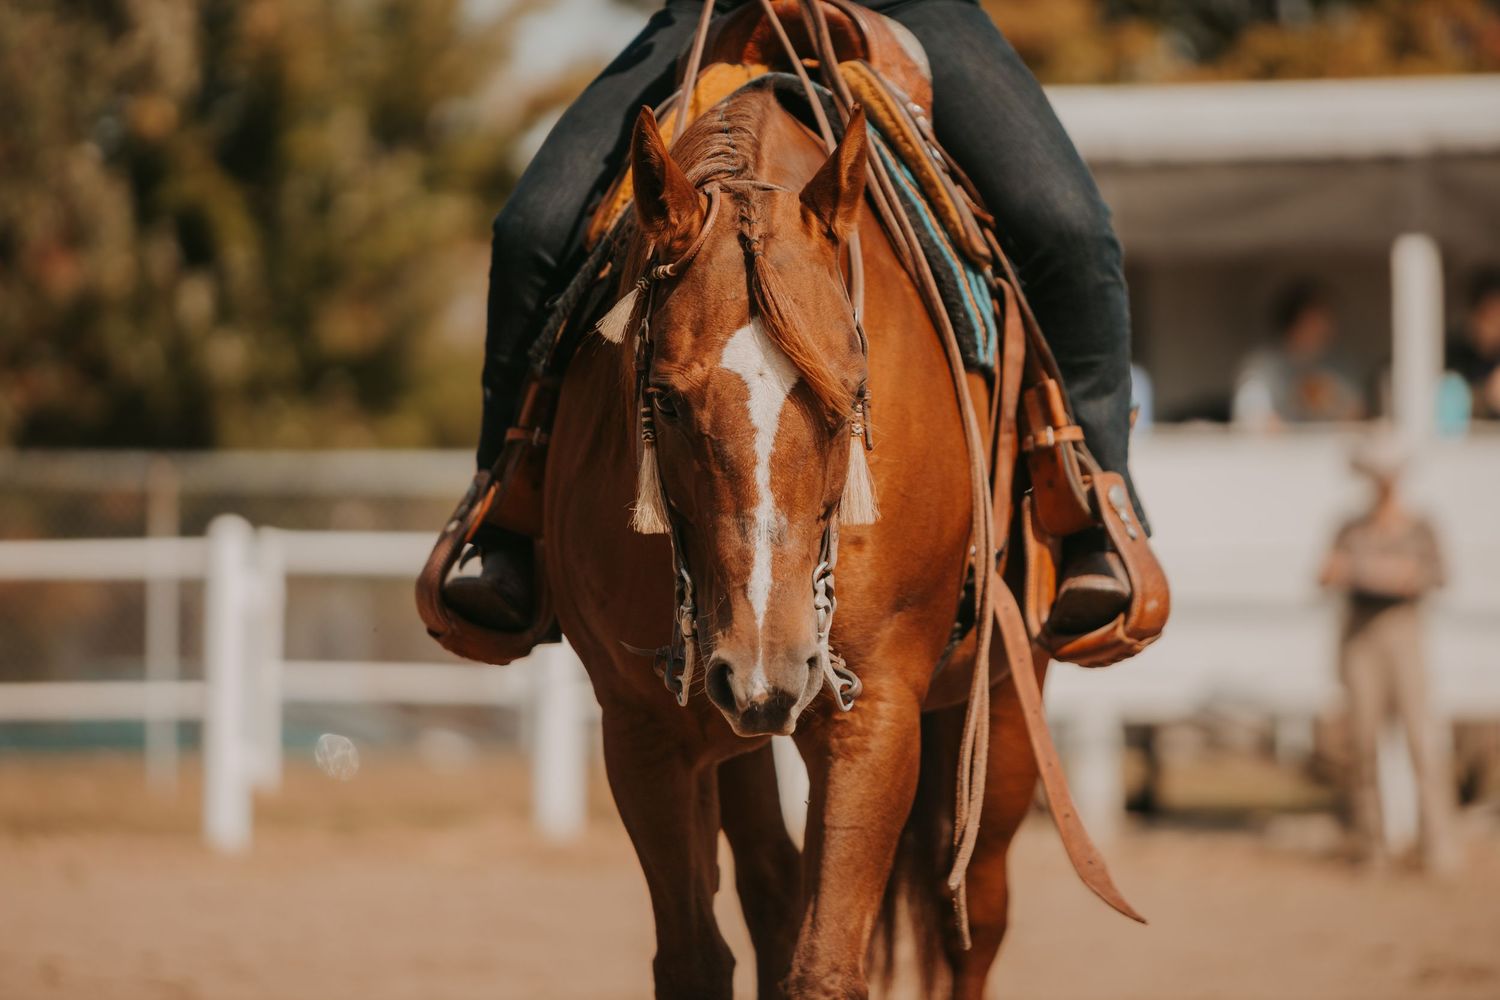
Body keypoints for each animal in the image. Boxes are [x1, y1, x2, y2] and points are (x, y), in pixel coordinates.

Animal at [542, 81, 1039, 999]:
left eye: (850, 399)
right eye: (664, 400)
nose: (770, 668)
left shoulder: (875, 715)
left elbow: (827, 963)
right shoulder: (642, 729)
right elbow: (698, 959)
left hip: (1006, 712)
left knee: (972, 919)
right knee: (773, 890)